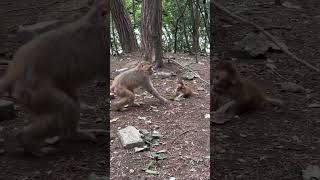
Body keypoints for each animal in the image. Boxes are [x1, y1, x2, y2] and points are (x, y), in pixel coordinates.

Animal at [0, 0, 110, 156]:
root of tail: (13, 72)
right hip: (32, 92)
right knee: (67, 107)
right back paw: (28, 143)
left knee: (72, 102)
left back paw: (74, 135)